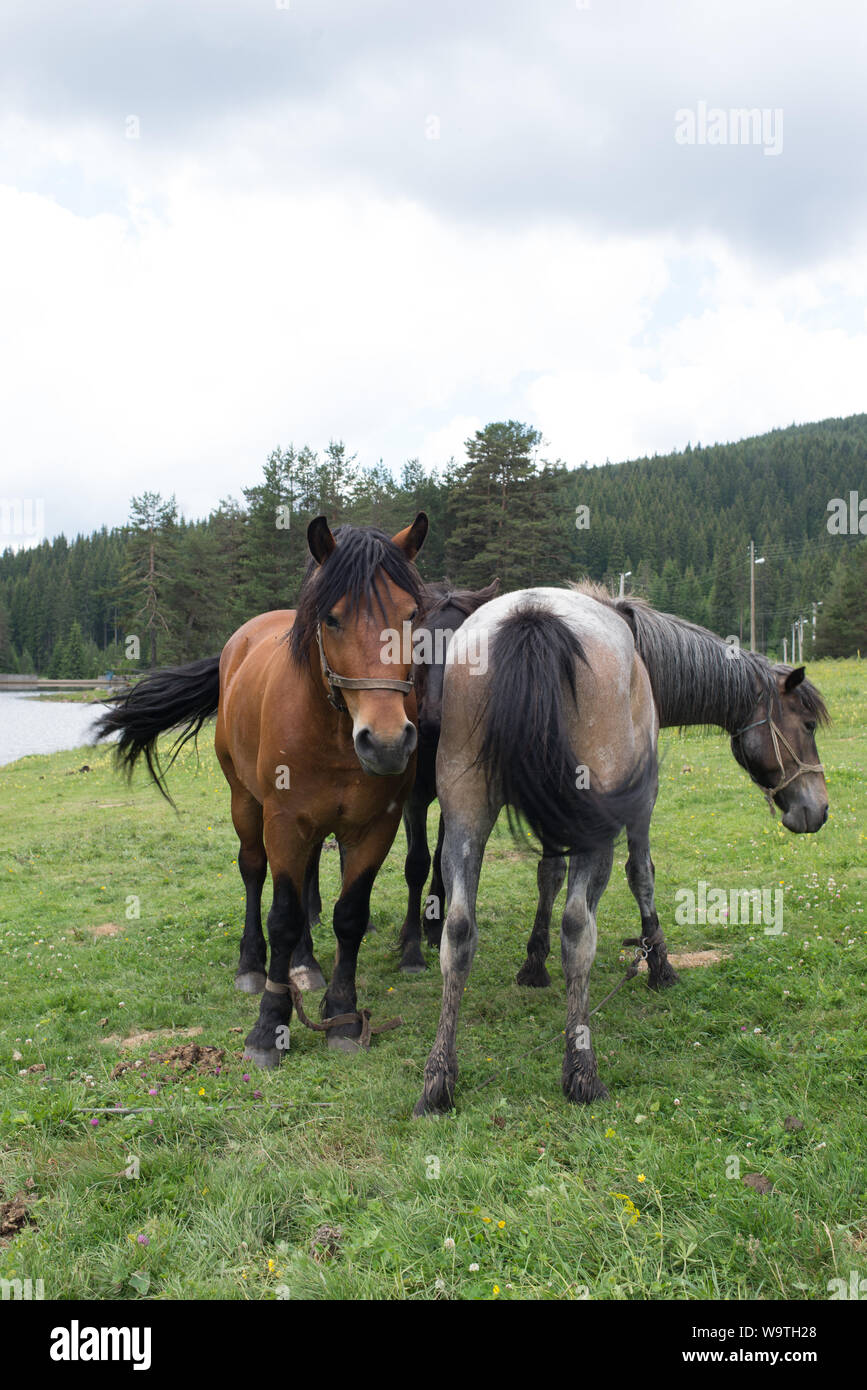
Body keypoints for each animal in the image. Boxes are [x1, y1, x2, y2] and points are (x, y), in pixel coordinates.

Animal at [96, 514, 428, 1065]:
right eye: (332, 618)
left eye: (412, 615)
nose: (384, 742)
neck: (333, 730)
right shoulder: (283, 822)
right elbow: (284, 916)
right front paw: (269, 1025)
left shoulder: (373, 827)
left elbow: (349, 917)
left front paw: (342, 1014)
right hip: (245, 803)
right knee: (253, 872)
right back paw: (253, 966)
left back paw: (305, 966)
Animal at [515, 586, 830, 990]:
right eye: (808, 725)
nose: (820, 809)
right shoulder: (638, 795)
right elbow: (640, 873)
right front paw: (659, 963)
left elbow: (550, 872)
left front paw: (535, 962)